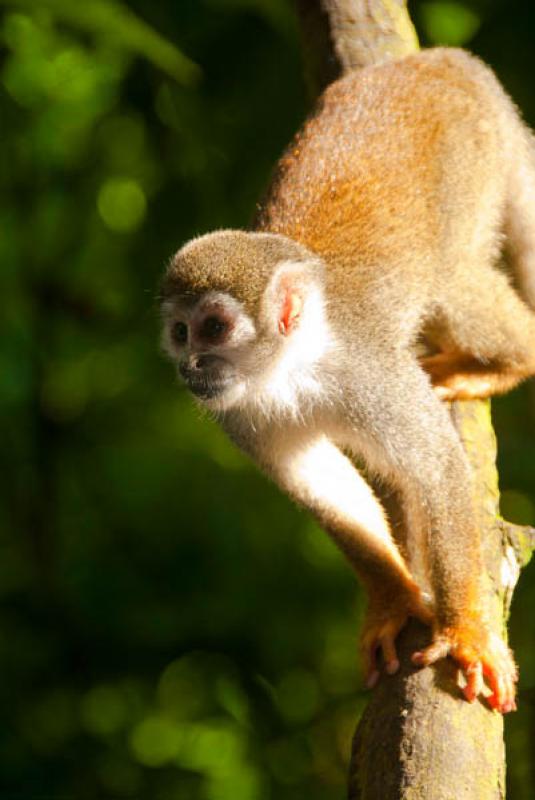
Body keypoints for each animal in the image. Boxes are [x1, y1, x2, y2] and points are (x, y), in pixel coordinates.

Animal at [159, 48, 535, 712]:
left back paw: (508, 363)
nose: (190, 367)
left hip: (473, 154)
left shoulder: (369, 372)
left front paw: (464, 630)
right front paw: (390, 598)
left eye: (214, 328)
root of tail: (450, 62)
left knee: (454, 280)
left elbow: (436, 464)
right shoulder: (238, 414)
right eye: (180, 333)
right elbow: (319, 484)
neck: (294, 369)